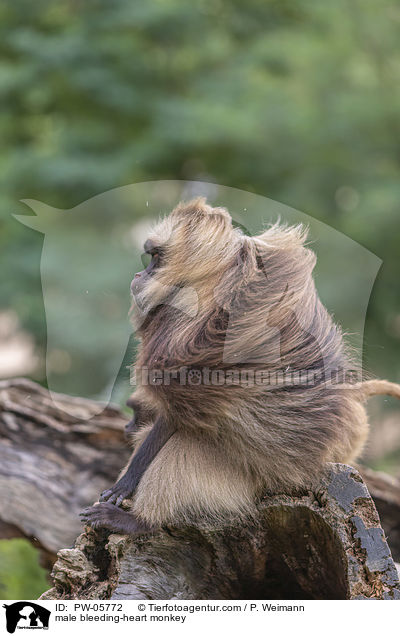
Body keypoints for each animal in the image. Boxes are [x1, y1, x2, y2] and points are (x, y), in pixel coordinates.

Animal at [80, 199, 400, 536]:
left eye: (155, 257)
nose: (139, 273)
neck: (213, 278)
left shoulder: (189, 318)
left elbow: (177, 412)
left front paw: (126, 484)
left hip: (268, 474)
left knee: (186, 441)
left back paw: (140, 523)